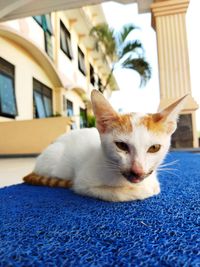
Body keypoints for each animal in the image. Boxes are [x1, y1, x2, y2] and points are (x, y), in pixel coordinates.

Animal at [23, 90, 188, 203]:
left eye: (154, 148)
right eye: (121, 145)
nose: (138, 171)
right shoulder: (82, 183)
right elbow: (116, 193)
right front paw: (141, 190)